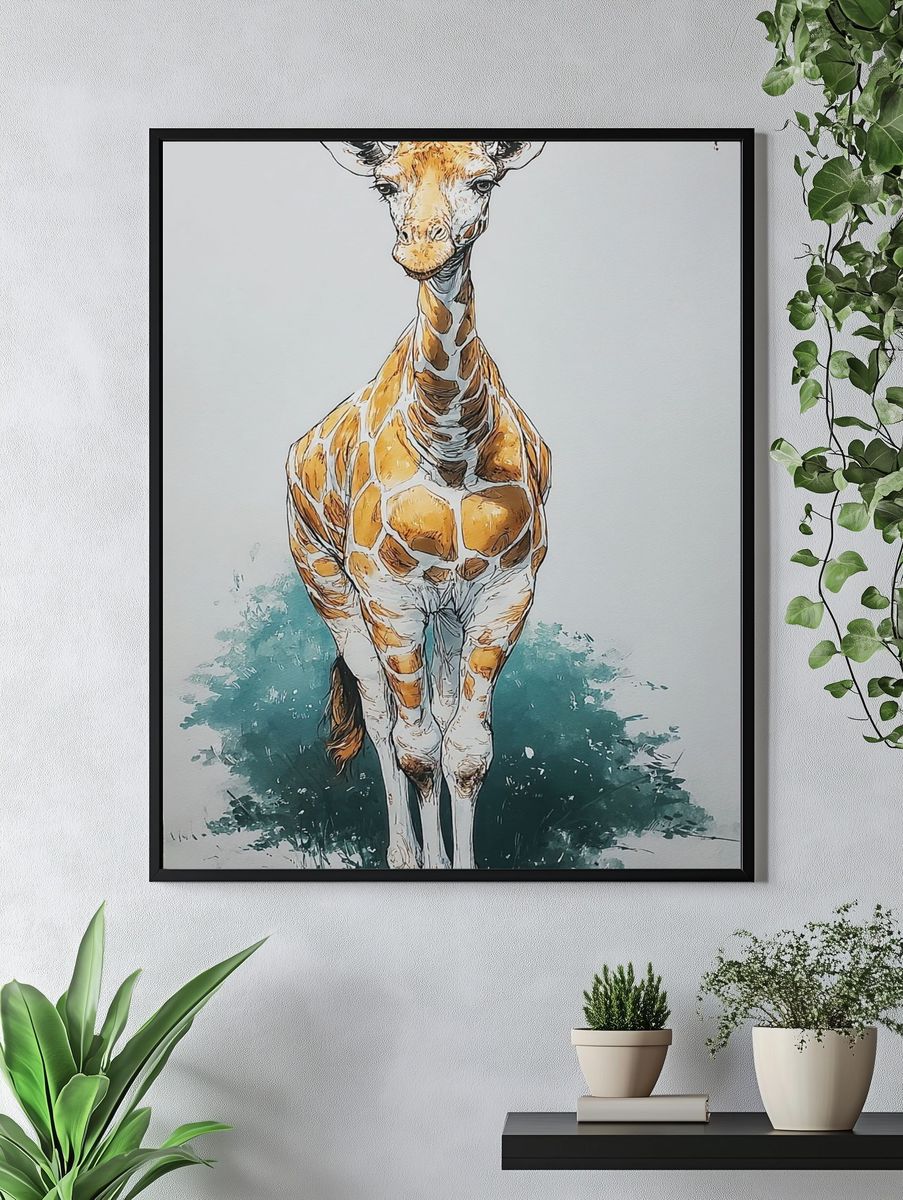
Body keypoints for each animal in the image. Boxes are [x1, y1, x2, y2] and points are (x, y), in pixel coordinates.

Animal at [286, 140, 550, 869]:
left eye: (483, 181)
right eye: (386, 186)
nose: (422, 248)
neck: (451, 444)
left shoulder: (504, 594)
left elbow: (465, 749)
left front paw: (459, 864)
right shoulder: (388, 596)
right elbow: (417, 746)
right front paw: (426, 863)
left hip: (448, 613)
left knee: (439, 709)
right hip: (328, 583)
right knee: (380, 714)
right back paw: (404, 853)